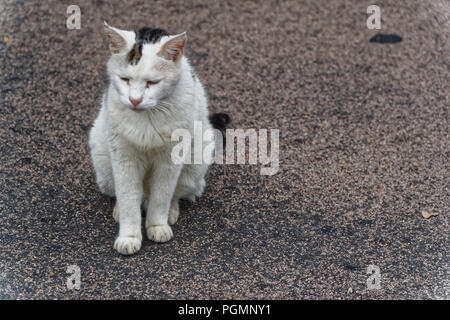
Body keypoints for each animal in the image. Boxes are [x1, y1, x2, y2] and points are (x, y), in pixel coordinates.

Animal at [89, 22, 229, 255]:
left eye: (152, 83)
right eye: (125, 80)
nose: (135, 100)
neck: (147, 117)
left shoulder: (170, 159)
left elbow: (162, 195)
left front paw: (157, 225)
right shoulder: (123, 156)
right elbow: (128, 197)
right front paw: (129, 236)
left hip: (195, 164)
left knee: (175, 193)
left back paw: (170, 211)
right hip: (103, 163)